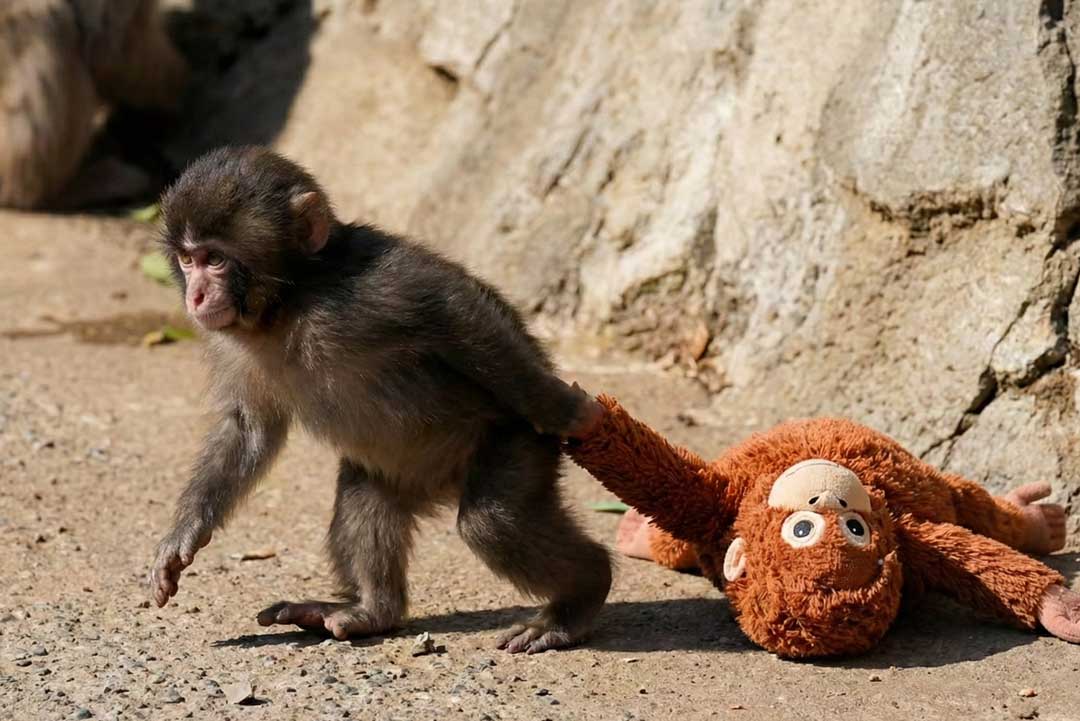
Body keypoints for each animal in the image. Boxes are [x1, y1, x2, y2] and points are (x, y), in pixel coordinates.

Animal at [147, 146, 613, 654]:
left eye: (214, 259)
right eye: (186, 259)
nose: (195, 295)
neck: (288, 303)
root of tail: (443, 486)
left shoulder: (369, 291)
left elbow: (454, 310)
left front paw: (564, 410)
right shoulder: (233, 343)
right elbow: (247, 430)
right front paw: (184, 534)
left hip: (517, 442)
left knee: (492, 523)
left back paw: (582, 594)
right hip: (408, 474)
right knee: (366, 495)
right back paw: (371, 612)